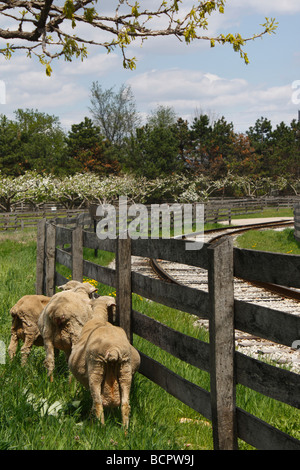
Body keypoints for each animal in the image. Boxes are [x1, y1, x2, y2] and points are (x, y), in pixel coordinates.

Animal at [69, 302, 141, 430]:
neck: (99, 317)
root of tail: (113, 350)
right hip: (125, 372)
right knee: (125, 404)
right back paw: (125, 429)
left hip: (96, 371)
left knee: (98, 403)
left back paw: (100, 428)